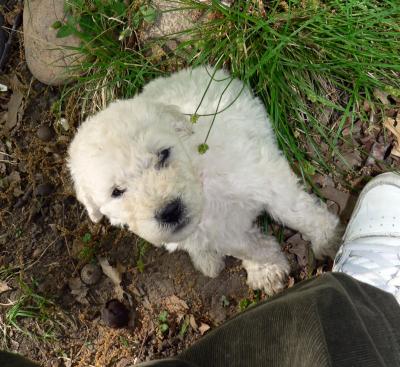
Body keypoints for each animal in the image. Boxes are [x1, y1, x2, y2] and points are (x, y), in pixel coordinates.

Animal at [69, 67, 340, 296]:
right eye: (117, 191)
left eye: (163, 154)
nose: (170, 211)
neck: (201, 181)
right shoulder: (220, 232)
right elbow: (248, 247)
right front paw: (266, 268)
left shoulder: (262, 175)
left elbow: (296, 211)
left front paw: (329, 239)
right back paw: (207, 259)